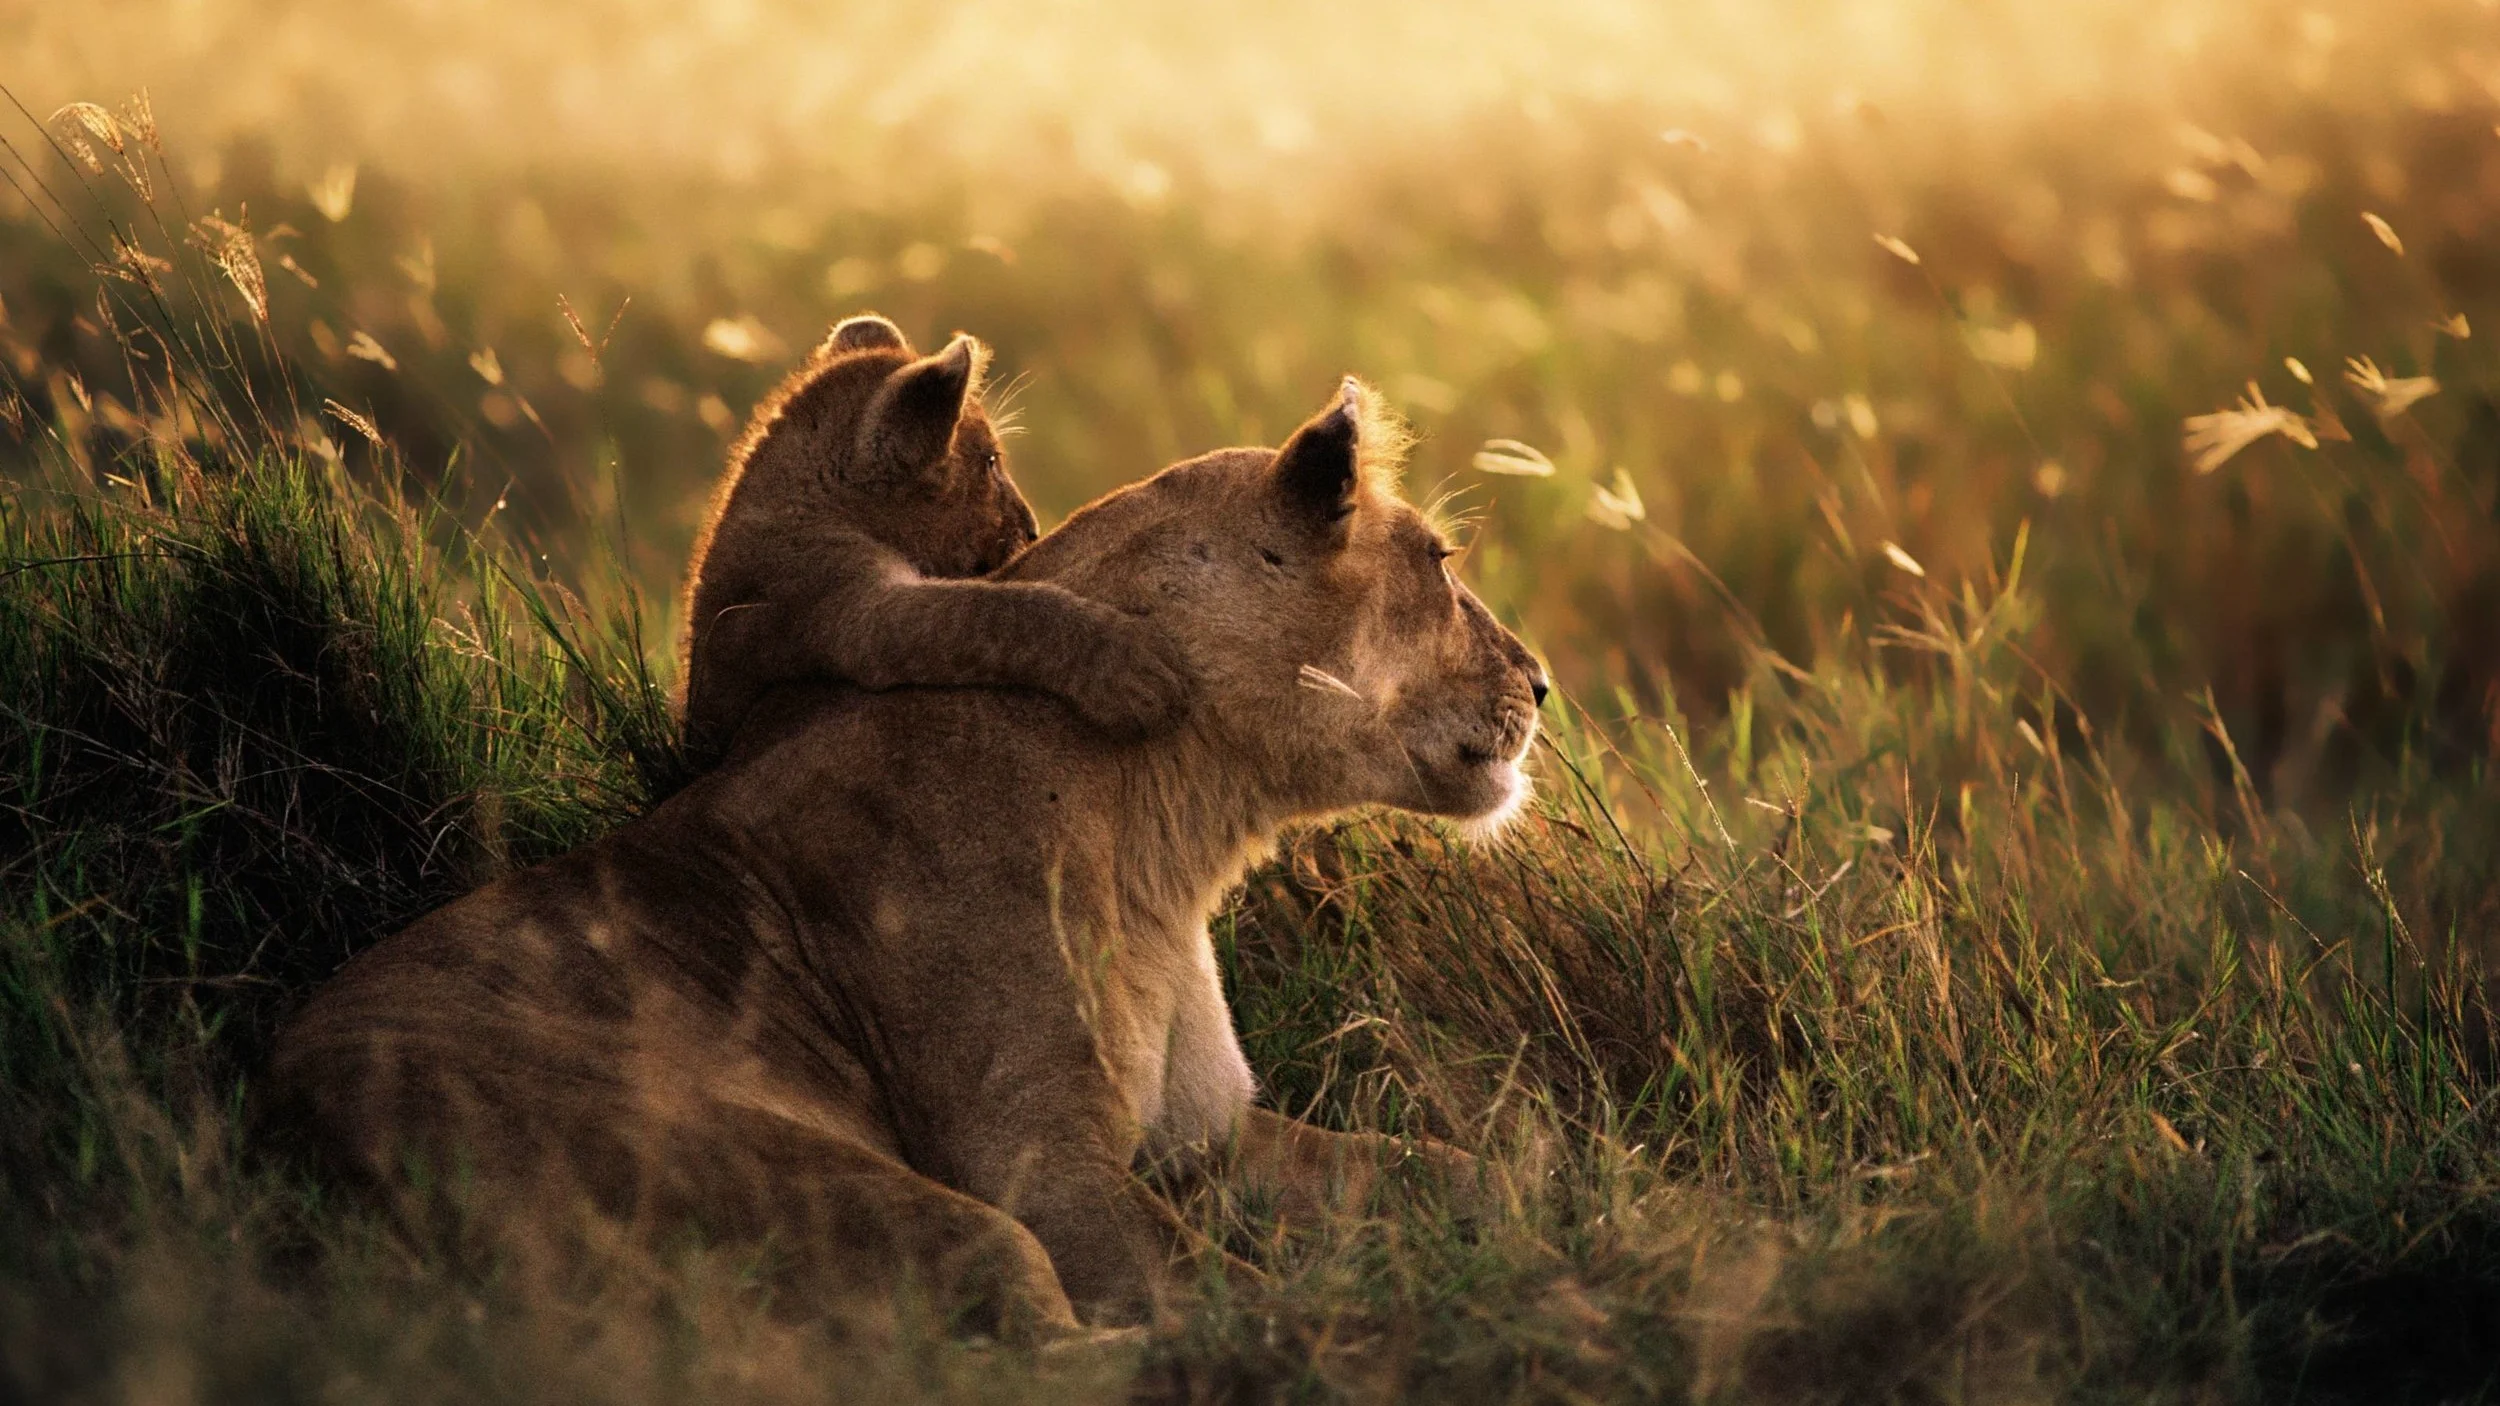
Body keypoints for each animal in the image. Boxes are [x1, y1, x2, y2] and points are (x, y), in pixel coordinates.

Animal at [269, 378, 1548, 1336]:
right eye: (1440, 561)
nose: (1540, 681)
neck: (1173, 829)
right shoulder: (1035, 1160)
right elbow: (1223, 1293)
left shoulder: (1210, 1133)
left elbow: (1456, 1165)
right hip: (838, 1185)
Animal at [677, 312, 1189, 761]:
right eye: (990, 462)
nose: (1032, 527)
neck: (810, 502)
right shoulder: (852, 612)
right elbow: (994, 611)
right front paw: (1131, 668)